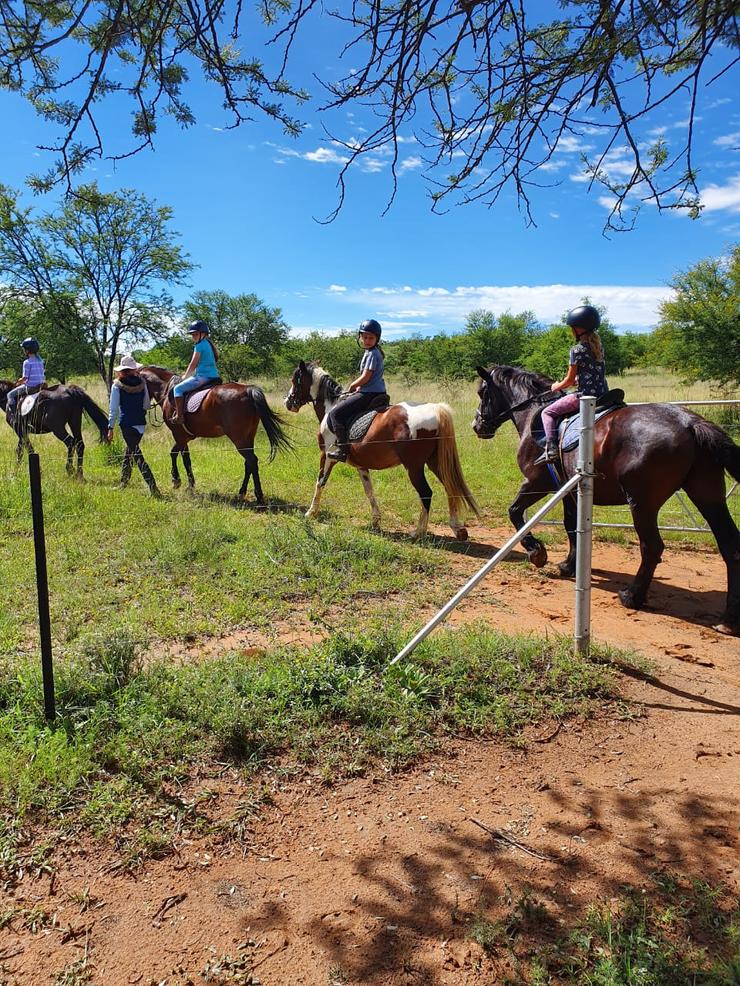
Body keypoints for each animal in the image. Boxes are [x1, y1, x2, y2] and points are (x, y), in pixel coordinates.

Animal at [140, 364, 290, 500]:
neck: (167, 391)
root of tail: (248, 389)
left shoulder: (179, 435)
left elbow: (176, 455)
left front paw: (177, 481)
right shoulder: (185, 437)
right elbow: (183, 457)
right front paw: (188, 484)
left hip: (239, 439)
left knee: (252, 460)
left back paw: (258, 495)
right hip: (248, 437)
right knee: (249, 463)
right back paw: (242, 492)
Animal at [284, 358, 480, 540]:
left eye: (295, 379)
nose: (288, 402)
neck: (331, 407)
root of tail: (436, 409)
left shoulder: (327, 456)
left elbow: (320, 482)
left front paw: (310, 513)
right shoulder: (360, 464)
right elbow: (369, 490)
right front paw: (376, 521)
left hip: (414, 466)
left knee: (426, 493)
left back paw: (418, 532)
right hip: (435, 461)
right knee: (450, 487)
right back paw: (457, 528)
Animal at [474, 366, 740, 636]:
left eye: (482, 392)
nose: (477, 426)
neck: (532, 414)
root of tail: (690, 423)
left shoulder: (536, 484)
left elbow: (514, 512)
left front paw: (537, 552)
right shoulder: (569, 491)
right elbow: (571, 527)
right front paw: (570, 565)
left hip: (642, 504)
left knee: (652, 547)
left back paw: (632, 596)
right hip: (708, 496)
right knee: (730, 547)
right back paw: (728, 620)